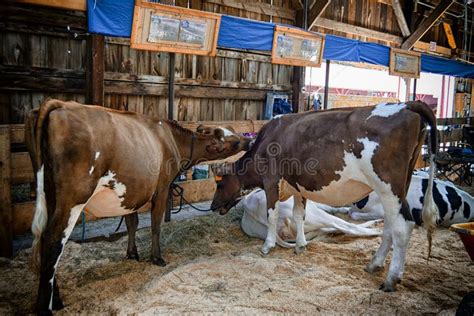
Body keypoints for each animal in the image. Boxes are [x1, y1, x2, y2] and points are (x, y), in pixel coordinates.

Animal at [26, 99, 250, 314]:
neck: (173, 140)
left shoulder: (132, 192)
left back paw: (56, 300)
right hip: (72, 199)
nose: (249, 140)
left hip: (49, 195)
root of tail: (59, 103)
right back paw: (46, 307)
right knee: (53, 242)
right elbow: (155, 225)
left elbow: (131, 222)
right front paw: (156, 257)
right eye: (234, 140)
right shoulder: (162, 188)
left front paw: (132, 254)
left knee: (45, 242)